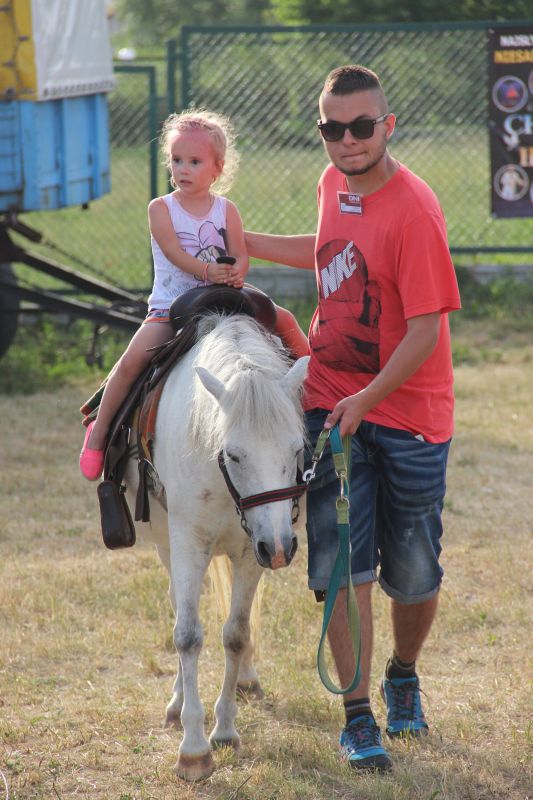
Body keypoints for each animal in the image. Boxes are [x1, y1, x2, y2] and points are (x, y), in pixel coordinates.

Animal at [124, 312, 309, 781]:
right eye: (234, 454)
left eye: (297, 448)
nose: (281, 548)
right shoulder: (189, 542)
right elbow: (188, 635)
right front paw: (193, 749)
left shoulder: (251, 550)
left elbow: (237, 634)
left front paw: (224, 730)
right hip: (168, 544)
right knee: (178, 606)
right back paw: (176, 703)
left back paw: (246, 680)